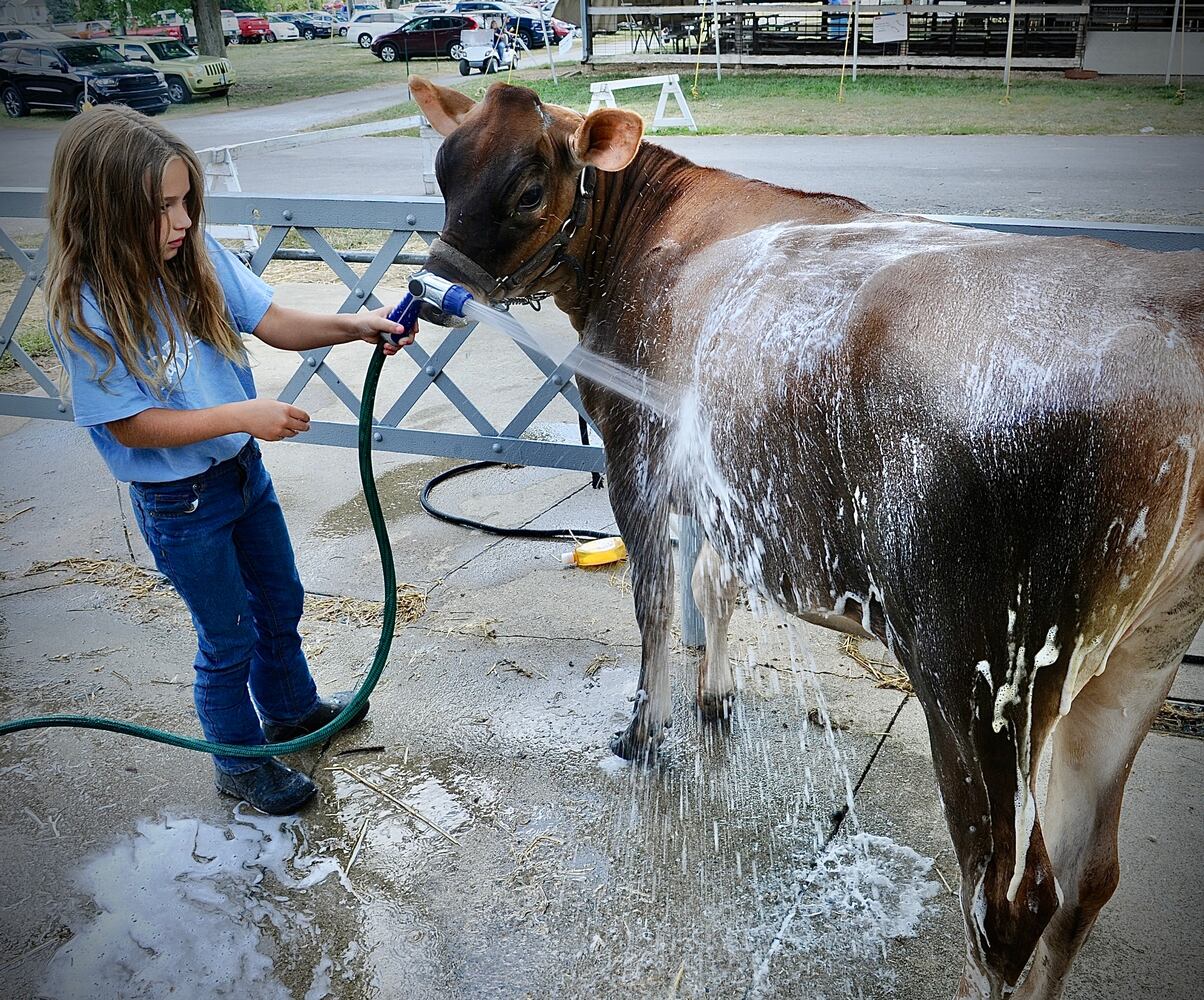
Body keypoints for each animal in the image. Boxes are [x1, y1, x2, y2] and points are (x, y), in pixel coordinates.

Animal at [411, 74, 1204, 996]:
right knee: (1090, 874)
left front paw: (646, 732)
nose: (428, 288)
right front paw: (716, 699)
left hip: (977, 673)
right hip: (1141, 652)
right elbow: (713, 583)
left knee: (1008, 904)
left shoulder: (635, 447)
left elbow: (655, 601)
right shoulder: (726, 479)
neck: (645, 230)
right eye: (442, 170)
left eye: (530, 189)